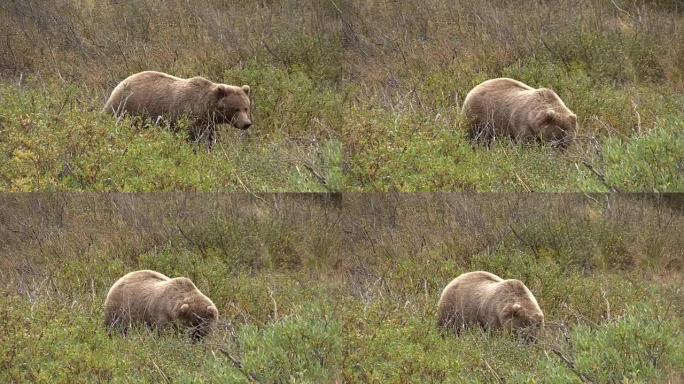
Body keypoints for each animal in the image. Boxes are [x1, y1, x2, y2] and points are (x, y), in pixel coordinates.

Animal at [101, 70, 251, 148]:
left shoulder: (208, 123)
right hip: (126, 109)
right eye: (236, 109)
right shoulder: (186, 116)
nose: (247, 123)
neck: (205, 108)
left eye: (246, 108)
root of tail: (118, 85)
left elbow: (210, 138)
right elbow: (190, 137)